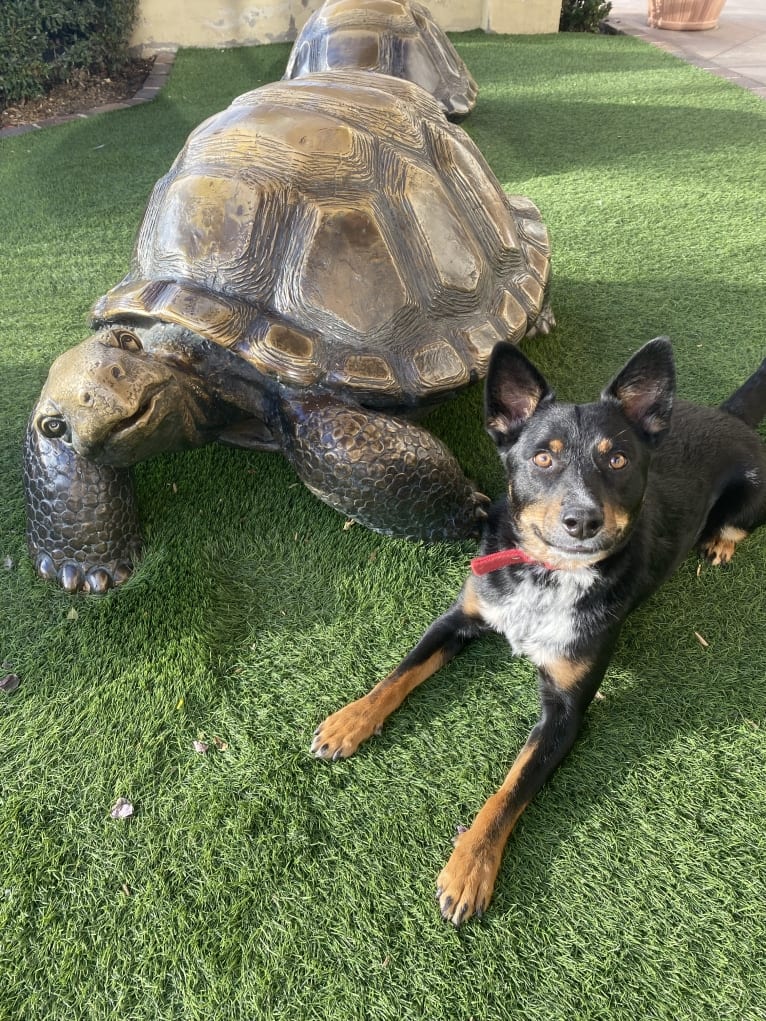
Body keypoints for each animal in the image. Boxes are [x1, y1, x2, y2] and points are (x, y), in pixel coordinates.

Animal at [310, 341, 766, 927]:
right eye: (542, 458)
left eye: (617, 460)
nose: (583, 520)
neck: (549, 576)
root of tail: (728, 417)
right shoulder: (459, 618)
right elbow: (399, 673)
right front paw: (349, 721)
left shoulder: (566, 712)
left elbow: (509, 792)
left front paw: (470, 868)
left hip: (752, 498)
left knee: (734, 526)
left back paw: (720, 544)